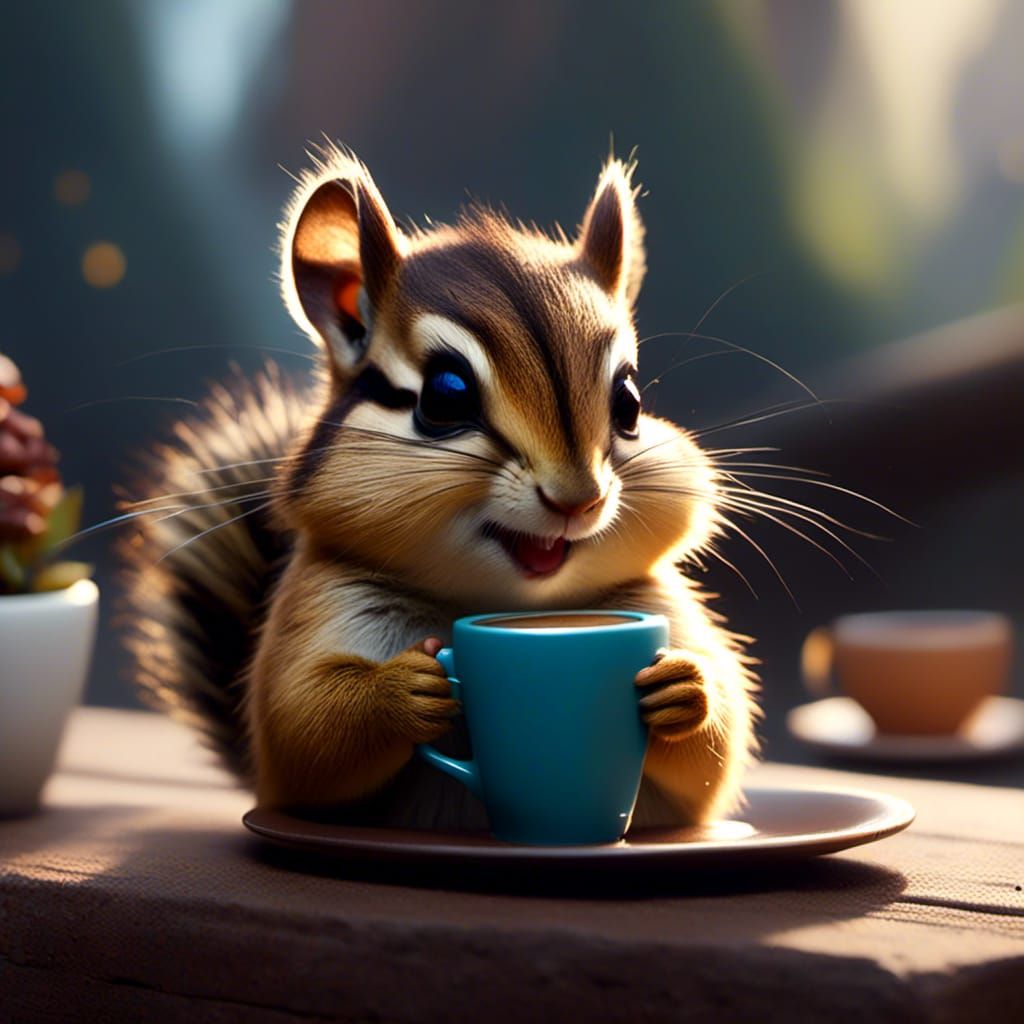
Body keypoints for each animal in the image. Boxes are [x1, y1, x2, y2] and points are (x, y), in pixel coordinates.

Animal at [122, 145, 760, 831]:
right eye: (445, 395)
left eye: (630, 402)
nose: (578, 498)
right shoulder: (313, 616)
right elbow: (306, 726)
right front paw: (398, 692)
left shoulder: (662, 608)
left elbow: (716, 751)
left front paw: (687, 687)